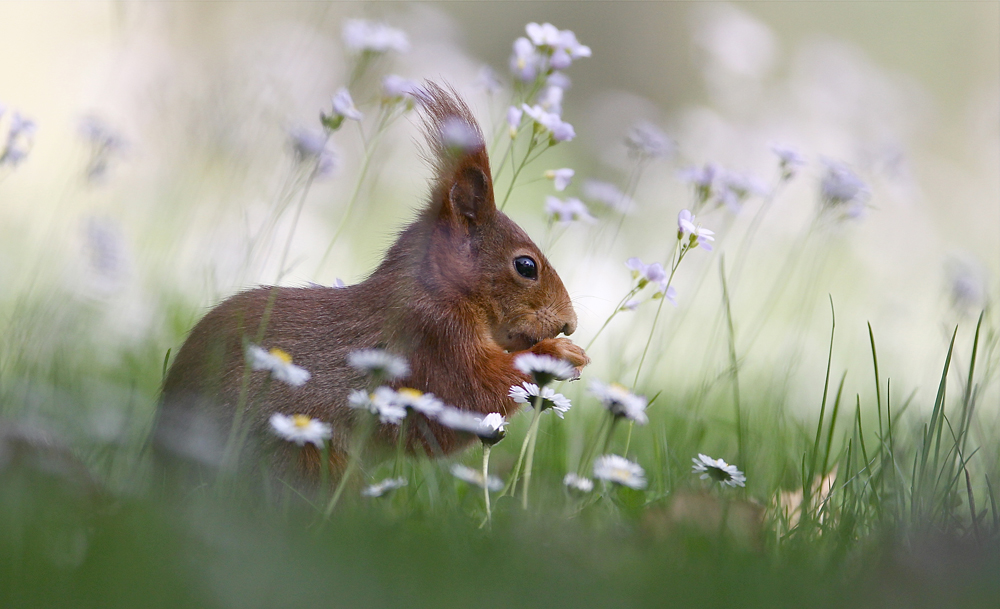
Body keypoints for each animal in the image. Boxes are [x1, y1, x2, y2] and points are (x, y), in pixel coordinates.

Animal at [156, 83, 588, 478]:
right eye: (526, 266)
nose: (569, 323)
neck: (439, 289)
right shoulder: (432, 339)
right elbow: (472, 393)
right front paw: (559, 353)